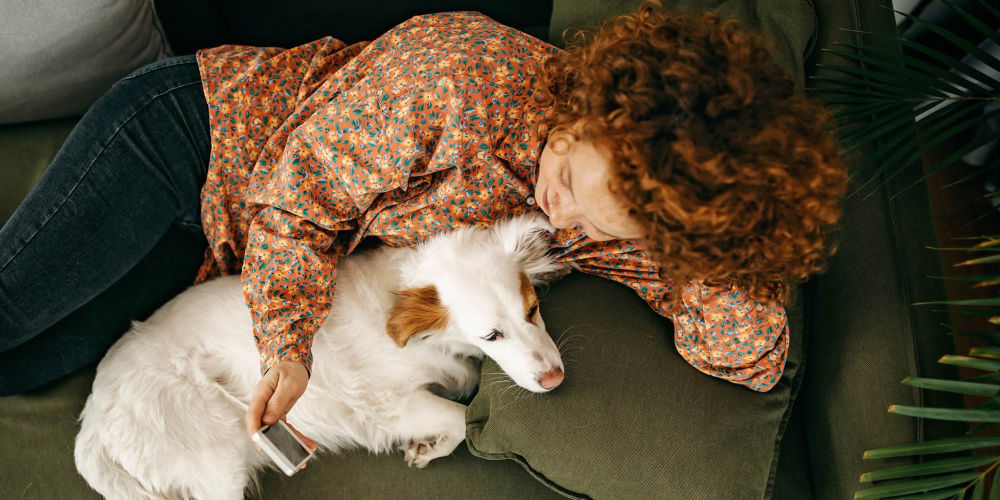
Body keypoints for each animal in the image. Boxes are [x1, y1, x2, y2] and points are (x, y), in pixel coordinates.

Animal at [76, 213, 572, 498]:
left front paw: (426, 448)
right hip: (218, 466)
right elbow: (461, 419)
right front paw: (434, 443)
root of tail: (93, 420)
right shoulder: (387, 405)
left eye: (532, 309)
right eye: (491, 335)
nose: (555, 380)